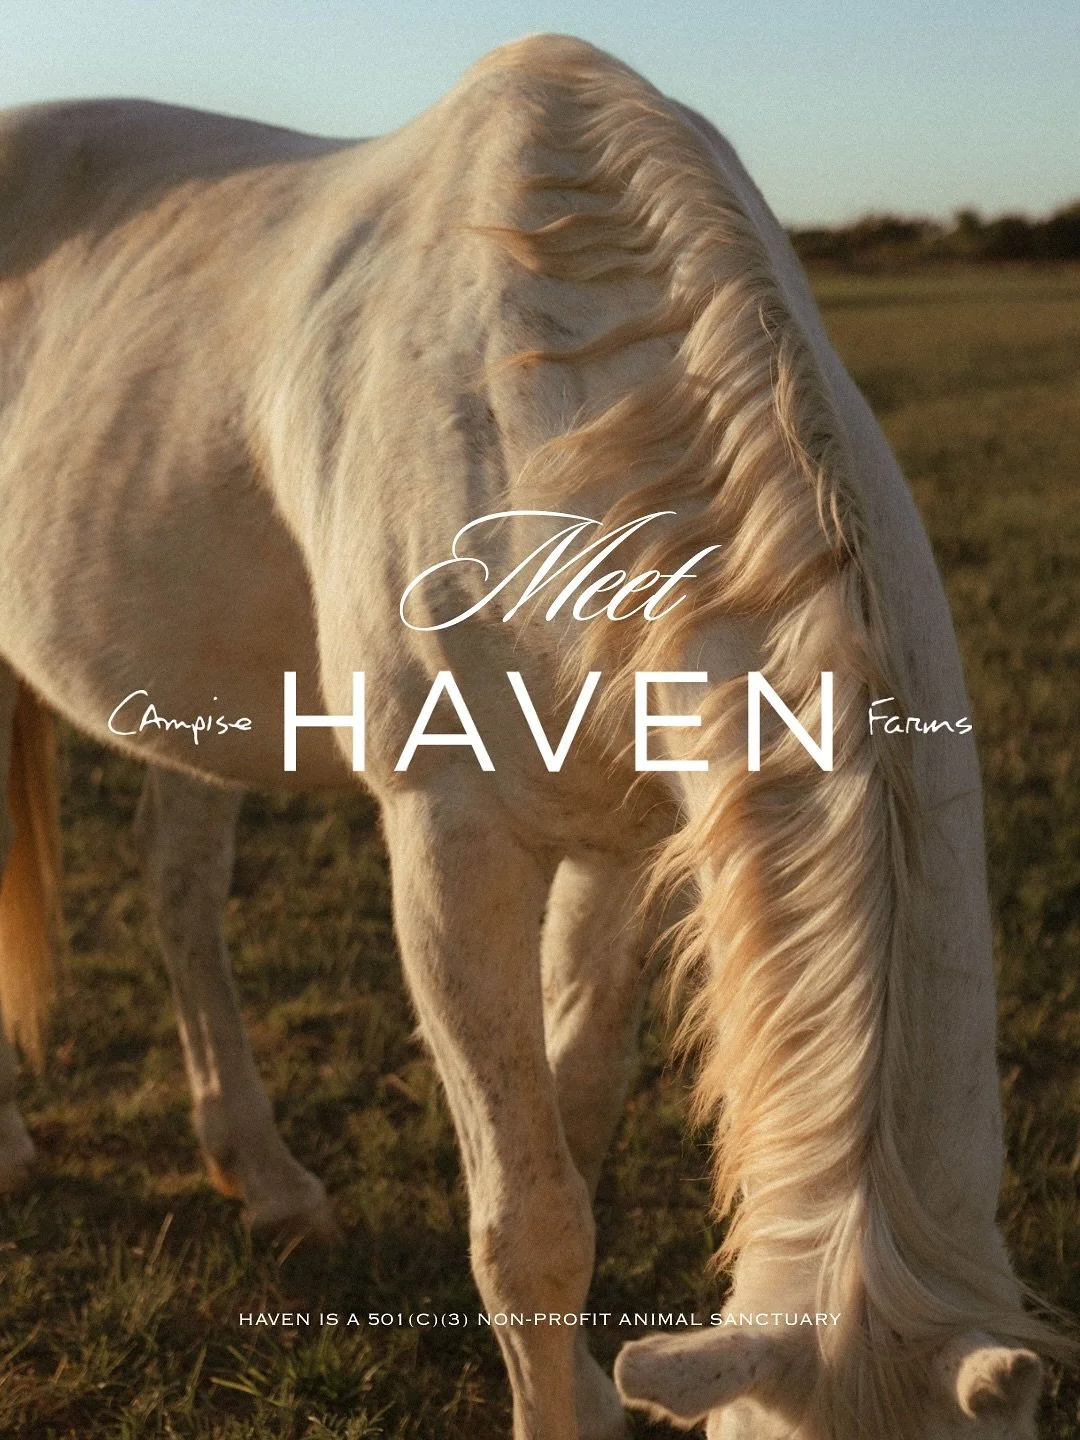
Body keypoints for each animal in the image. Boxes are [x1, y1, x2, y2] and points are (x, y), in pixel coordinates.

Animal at [0, 33, 1064, 1440]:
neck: (547, 407)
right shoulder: (452, 843)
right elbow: (529, 1226)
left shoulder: (626, 834)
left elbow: (577, 1117)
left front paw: (596, 1397)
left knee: (181, 891)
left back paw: (266, 1178)